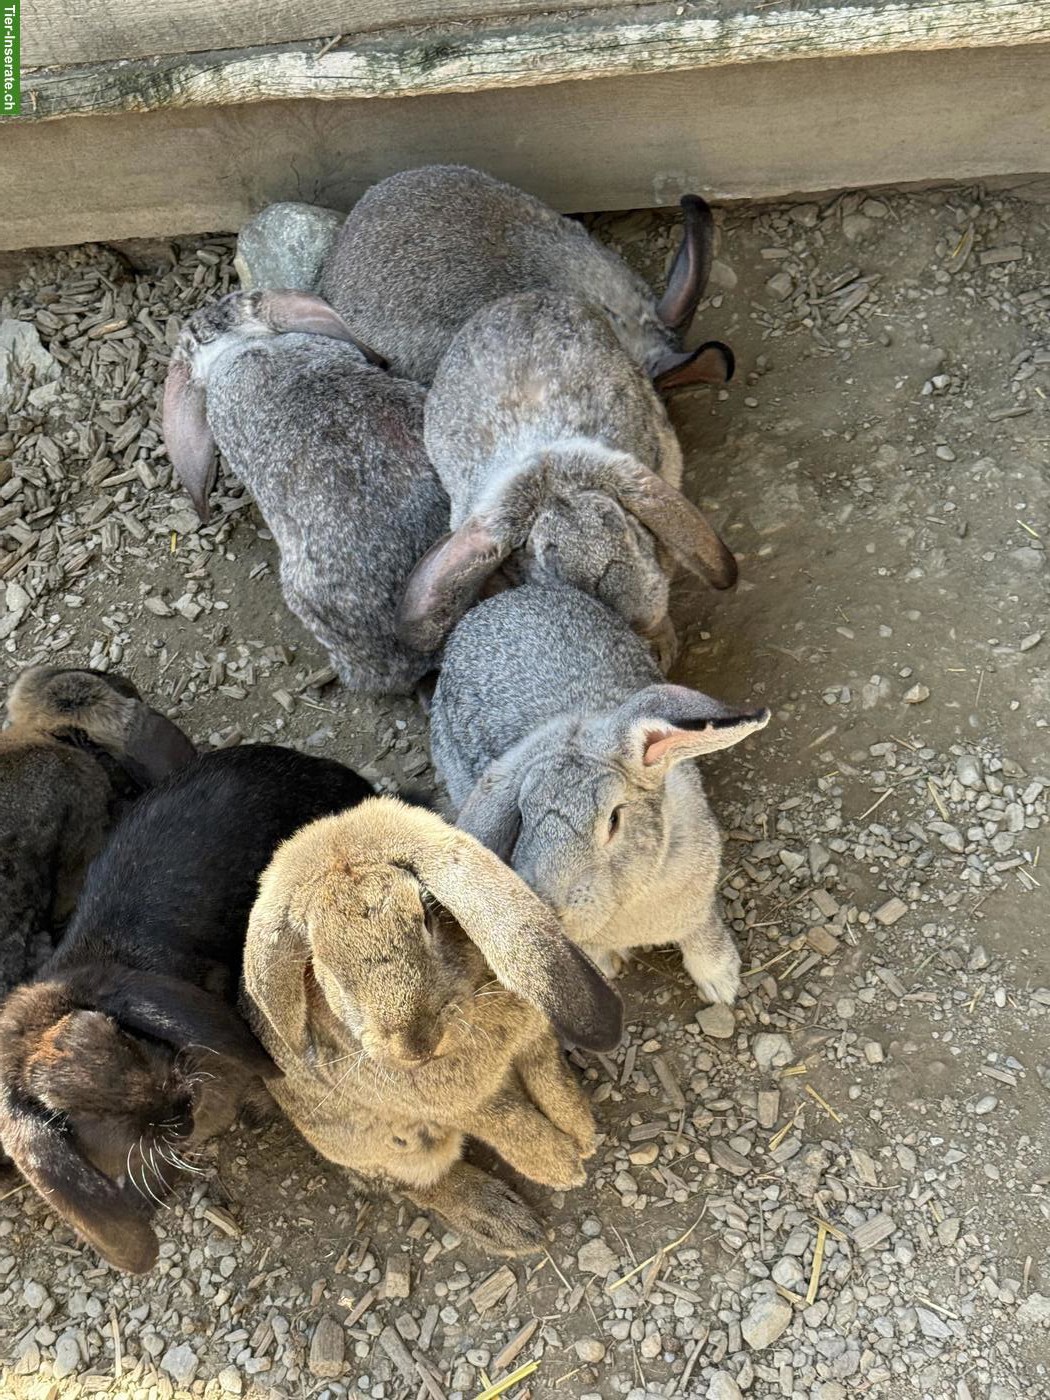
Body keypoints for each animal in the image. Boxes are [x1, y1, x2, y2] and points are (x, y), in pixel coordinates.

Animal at [241, 796, 623, 1256]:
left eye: (427, 916)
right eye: (320, 963)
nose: (413, 1044)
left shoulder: (535, 1042)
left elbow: (550, 1078)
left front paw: (582, 1135)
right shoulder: (463, 1106)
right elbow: (509, 1120)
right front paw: (561, 1166)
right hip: (399, 1147)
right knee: (415, 1185)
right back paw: (507, 1223)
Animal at [429, 584, 770, 1004]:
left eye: (613, 820)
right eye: (522, 817)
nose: (551, 909)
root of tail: (488, 606)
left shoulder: (698, 907)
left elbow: (700, 935)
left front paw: (721, 983)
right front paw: (609, 966)